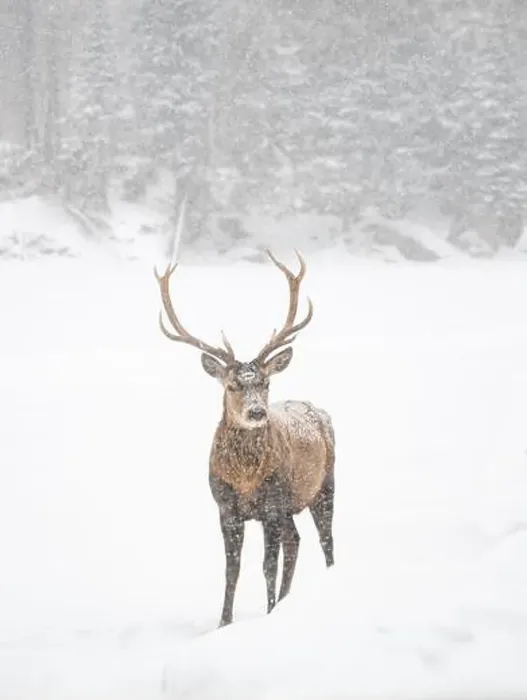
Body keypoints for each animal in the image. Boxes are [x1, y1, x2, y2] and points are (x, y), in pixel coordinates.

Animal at [154, 250, 335, 628]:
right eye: (232, 385)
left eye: (265, 382)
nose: (256, 412)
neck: (246, 480)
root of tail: (320, 411)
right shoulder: (226, 507)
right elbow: (232, 570)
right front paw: (224, 622)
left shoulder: (272, 505)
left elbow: (267, 565)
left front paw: (266, 613)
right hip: (291, 505)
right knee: (296, 541)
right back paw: (286, 600)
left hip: (324, 485)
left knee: (326, 541)